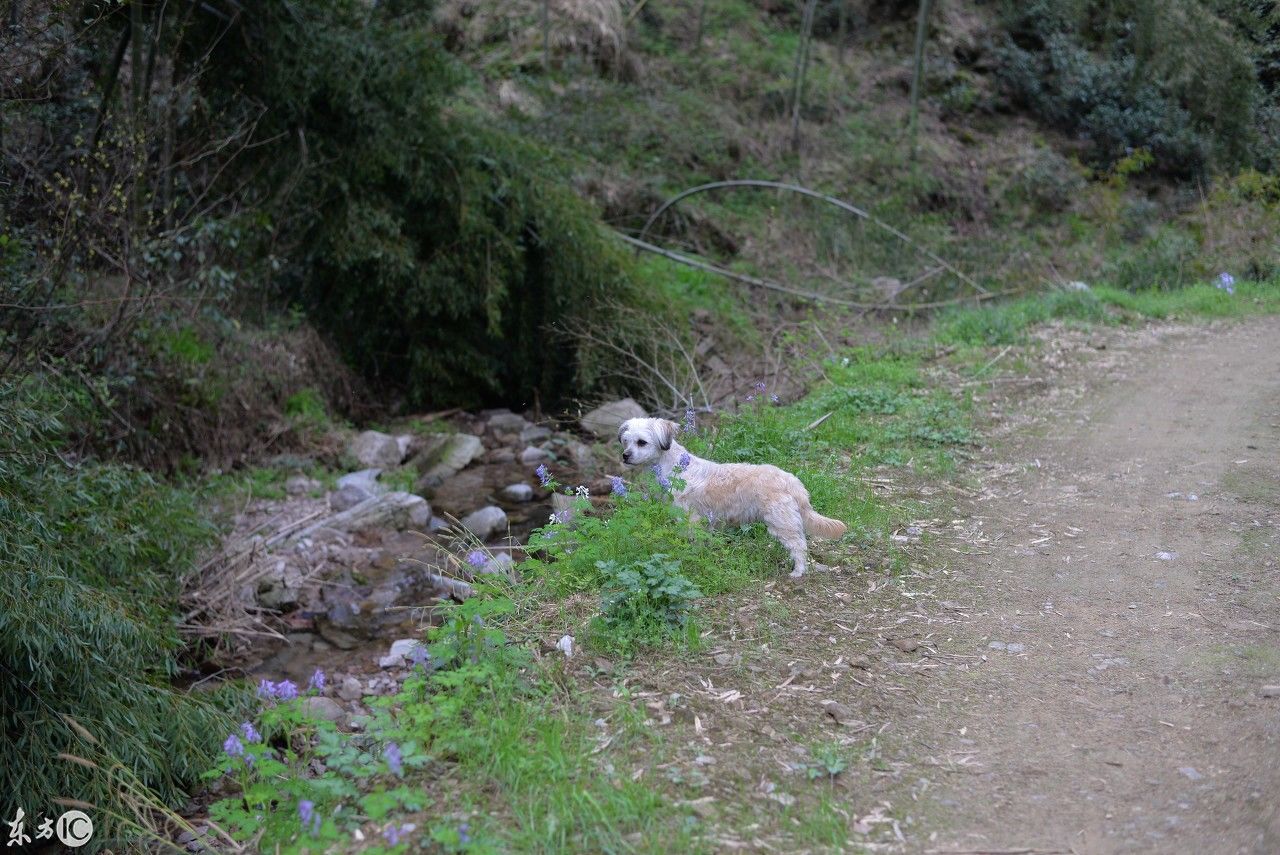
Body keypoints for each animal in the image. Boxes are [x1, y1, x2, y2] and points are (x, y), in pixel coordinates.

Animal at [614, 417, 844, 578]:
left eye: (642, 442)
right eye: (626, 441)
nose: (625, 455)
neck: (672, 466)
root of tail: (792, 481)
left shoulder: (689, 517)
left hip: (781, 523)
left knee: (799, 546)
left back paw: (798, 572)